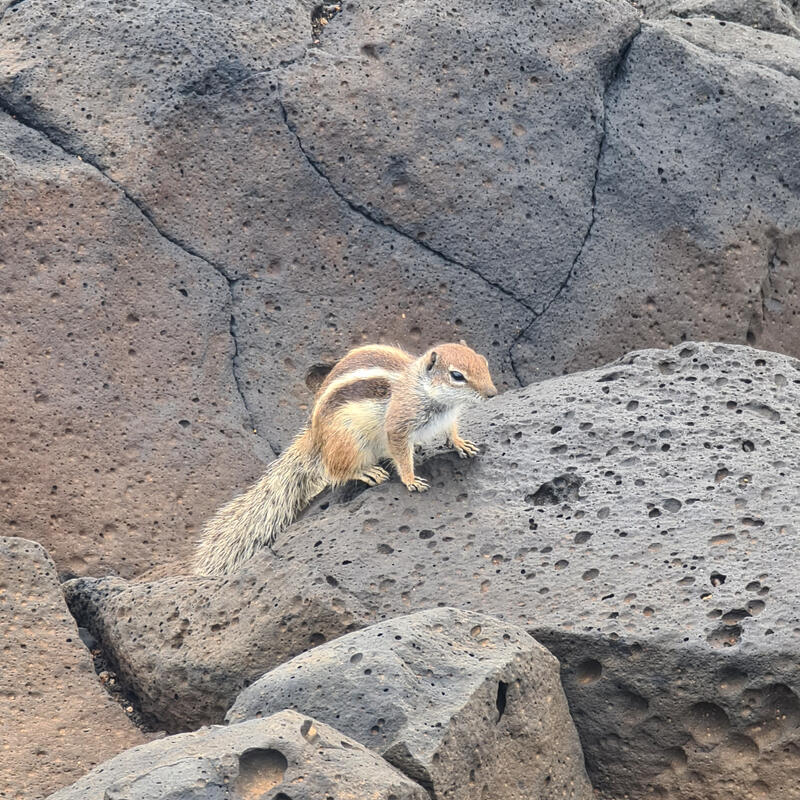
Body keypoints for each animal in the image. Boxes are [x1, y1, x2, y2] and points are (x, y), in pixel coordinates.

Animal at [192, 342, 494, 576]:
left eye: (484, 362)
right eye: (457, 375)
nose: (492, 393)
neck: (427, 392)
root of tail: (315, 437)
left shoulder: (447, 417)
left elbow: (451, 430)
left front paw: (461, 443)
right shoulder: (397, 425)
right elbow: (400, 453)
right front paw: (410, 479)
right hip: (349, 442)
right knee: (335, 471)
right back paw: (366, 472)